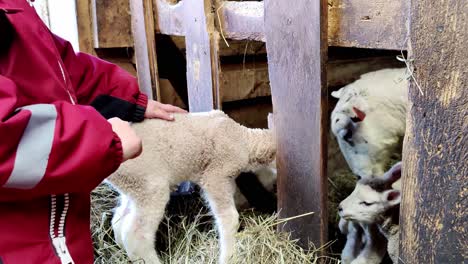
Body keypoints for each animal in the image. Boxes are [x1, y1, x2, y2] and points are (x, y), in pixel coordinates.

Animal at [104, 110, 276, 264]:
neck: (243, 140)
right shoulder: (215, 175)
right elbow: (229, 218)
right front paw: (229, 258)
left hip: (135, 186)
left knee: (119, 221)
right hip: (150, 186)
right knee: (135, 234)